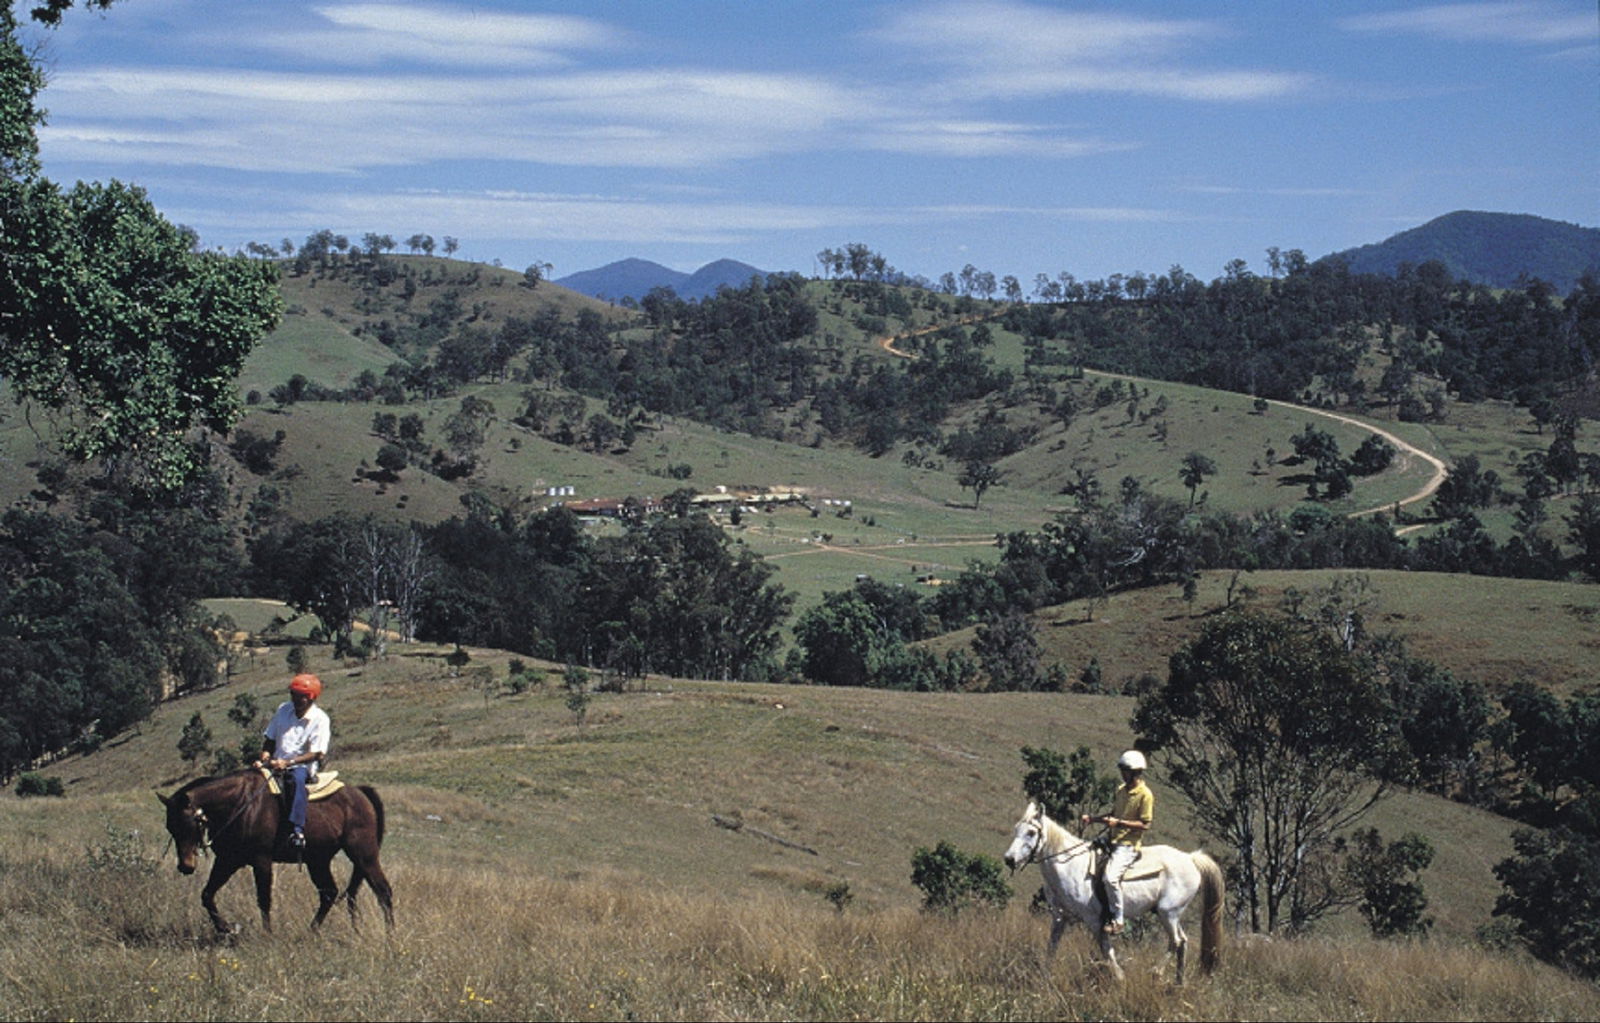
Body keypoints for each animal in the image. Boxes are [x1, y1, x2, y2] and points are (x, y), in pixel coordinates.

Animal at [157, 771, 395, 934]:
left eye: (189, 824)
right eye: (170, 827)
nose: (185, 866)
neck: (240, 804)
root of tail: (361, 793)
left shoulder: (261, 860)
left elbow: (264, 899)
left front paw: (267, 934)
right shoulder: (228, 860)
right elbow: (207, 894)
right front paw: (226, 929)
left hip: (363, 854)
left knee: (383, 891)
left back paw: (390, 936)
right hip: (318, 860)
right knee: (329, 893)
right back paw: (311, 931)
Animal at [998, 800, 1222, 986]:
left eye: (1031, 833)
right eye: (1017, 829)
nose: (1009, 859)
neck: (1070, 865)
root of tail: (1190, 858)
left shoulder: (1094, 920)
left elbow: (1107, 952)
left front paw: (1120, 979)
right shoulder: (1060, 917)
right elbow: (1052, 946)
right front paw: (1044, 978)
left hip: (1168, 912)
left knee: (1175, 941)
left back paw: (1156, 972)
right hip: (1170, 914)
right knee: (1182, 941)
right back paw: (1178, 983)